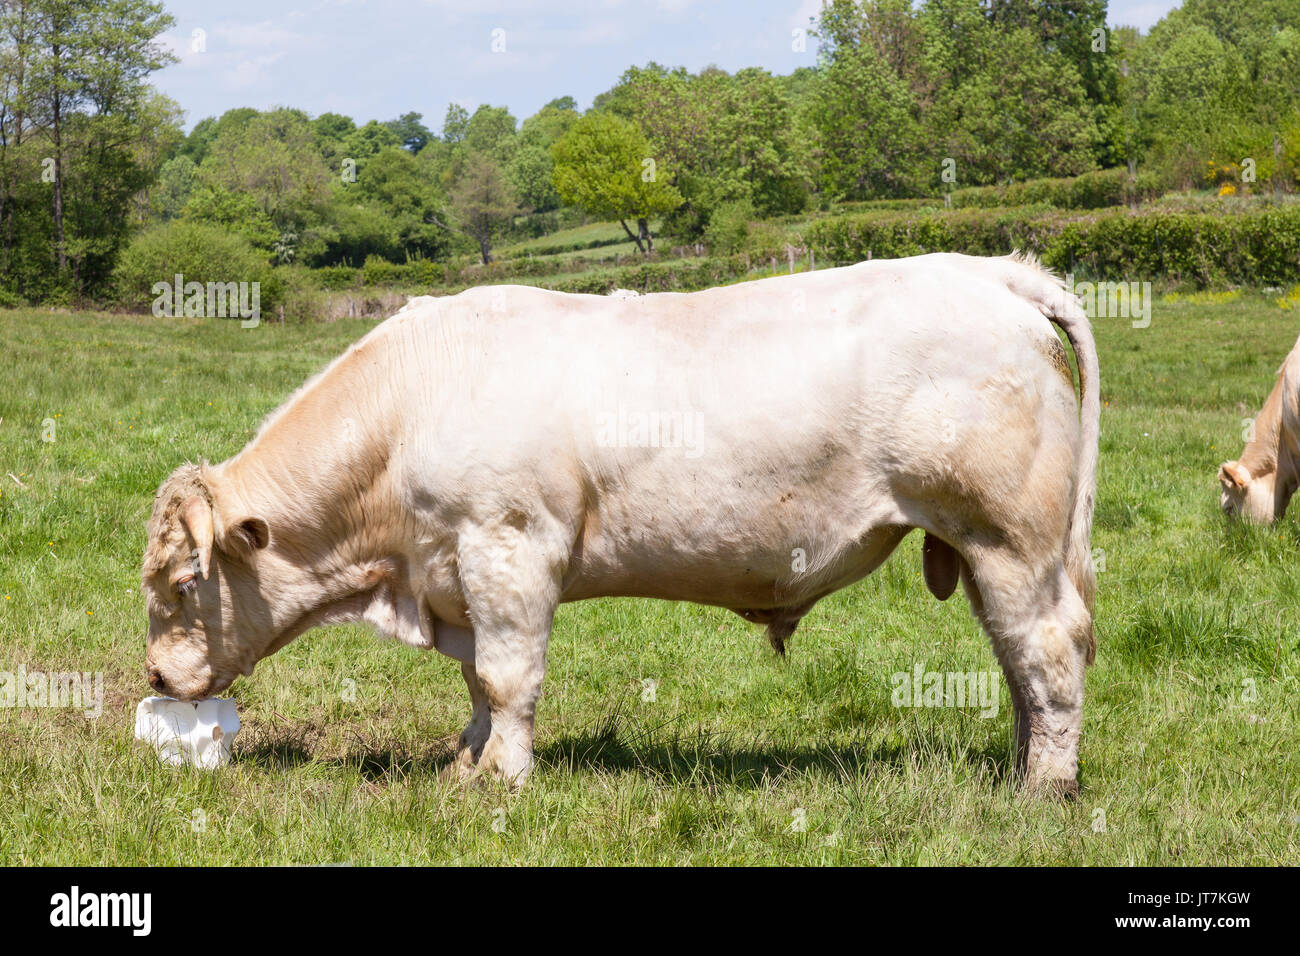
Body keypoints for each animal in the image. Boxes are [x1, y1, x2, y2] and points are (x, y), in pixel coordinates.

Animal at [141, 251, 1099, 795]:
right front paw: (465, 763)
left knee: (1048, 651)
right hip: (984, 548)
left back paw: (1043, 789)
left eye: (186, 583)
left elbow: (508, 678)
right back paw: (1020, 766)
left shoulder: (508, 547)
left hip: (1010, 537)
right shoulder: (456, 573)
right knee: (1016, 659)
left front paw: (503, 780)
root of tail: (986, 270)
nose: (152, 674)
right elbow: (477, 682)